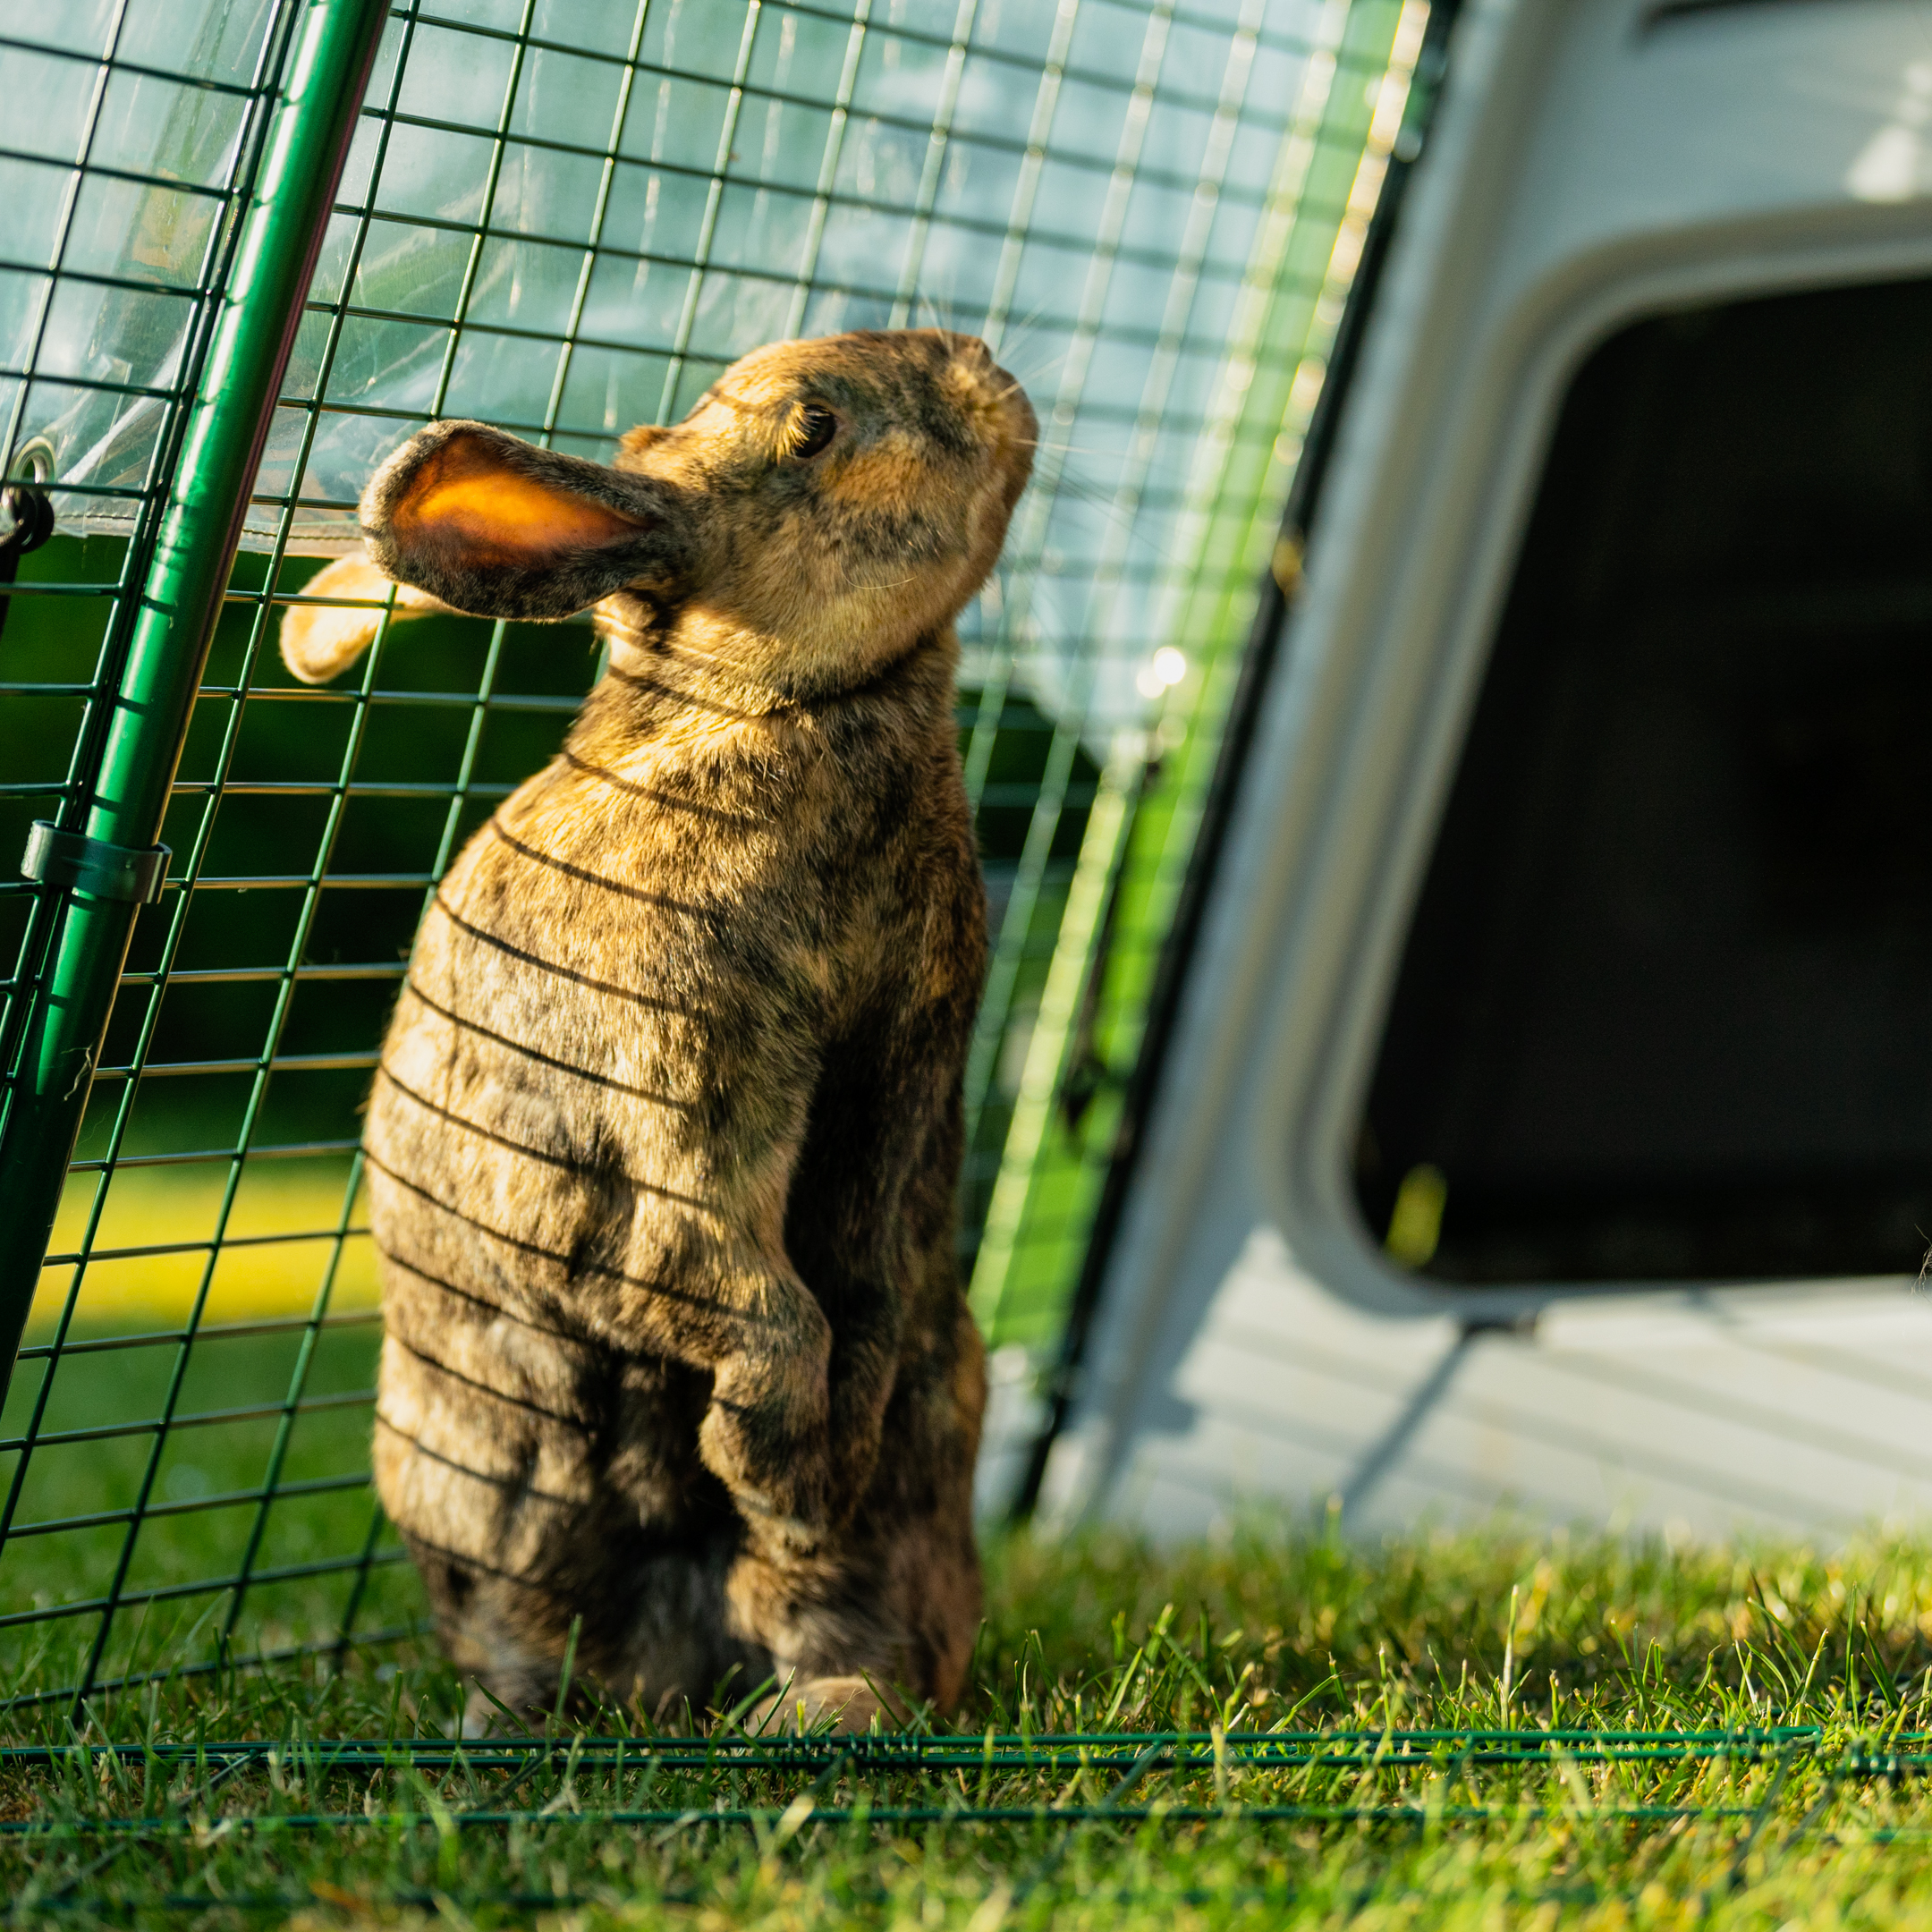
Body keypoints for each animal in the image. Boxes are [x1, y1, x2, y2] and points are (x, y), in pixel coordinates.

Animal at [280, 332, 1035, 1739]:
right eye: (812, 425)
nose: (986, 369)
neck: (777, 704)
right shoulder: (671, 1122)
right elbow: (741, 1295)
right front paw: (778, 1469)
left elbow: (844, 1297)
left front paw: (798, 1481)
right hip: (495, 1514)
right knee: (530, 1638)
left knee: (836, 1626)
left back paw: (815, 1703)